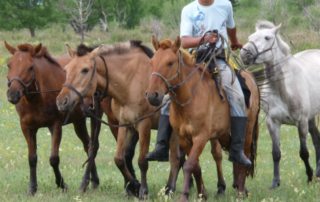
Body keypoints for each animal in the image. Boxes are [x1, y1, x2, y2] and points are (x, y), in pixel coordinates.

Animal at [3, 41, 106, 195]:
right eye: (9, 65)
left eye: (30, 67)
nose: (13, 94)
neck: (37, 98)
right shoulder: (27, 127)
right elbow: (32, 158)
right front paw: (32, 188)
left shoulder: (55, 126)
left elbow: (54, 159)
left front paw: (62, 184)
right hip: (79, 121)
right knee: (87, 145)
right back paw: (94, 181)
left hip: (96, 116)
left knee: (93, 146)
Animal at [145, 36, 260, 200]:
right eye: (152, 62)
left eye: (170, 62)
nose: (152, 96)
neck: (190, 98)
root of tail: (250, 77)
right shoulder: (184, 138)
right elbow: (195, 166)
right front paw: (201, 194)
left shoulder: (201, 137)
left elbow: (189, 165)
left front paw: (184, 196)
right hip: (223, 133)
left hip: (248, 129)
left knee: (245, 155)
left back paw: (240, 191)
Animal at [240, 20, 320, 188]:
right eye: (250, 36)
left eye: (267, 37)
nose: (245, 54)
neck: (284, 89)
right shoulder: (273, 123)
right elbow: (276, 153)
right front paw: (275, 182)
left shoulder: (301, 122)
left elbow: (303, 152)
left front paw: (309, 177)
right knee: (317, 140)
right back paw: (318, 172)